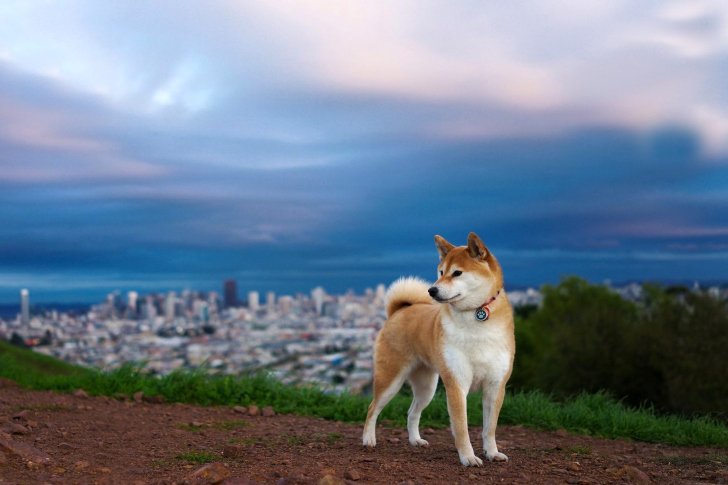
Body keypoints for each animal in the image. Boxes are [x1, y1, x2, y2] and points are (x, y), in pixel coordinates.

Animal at [362, 233, 516, 466]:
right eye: (441, 272)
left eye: (457, 272)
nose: (431, 290)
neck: (475, 315)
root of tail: (399, 311)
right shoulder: (457, 384)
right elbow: (461, 428)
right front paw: (468, 457)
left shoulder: (495, 385)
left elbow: (490, 428)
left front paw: (492, 453)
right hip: (390, 379)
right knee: (372, 408)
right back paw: (368, 440)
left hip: (427, 387)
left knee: (412, 412)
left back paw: (415, 440)